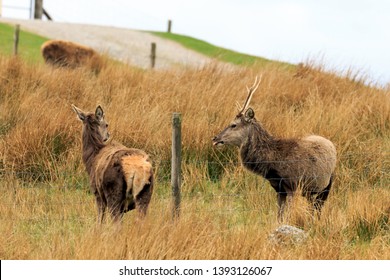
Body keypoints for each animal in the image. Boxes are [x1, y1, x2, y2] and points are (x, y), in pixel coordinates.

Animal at [212, 77, 336, 221]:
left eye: (233, 125)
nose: (215, 138)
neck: (273, 163)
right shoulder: (279, 188)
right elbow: (279, 215)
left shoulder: (293, 185)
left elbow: (287, 215)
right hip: (310, 192)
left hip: (324, 187)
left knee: (317, 208)